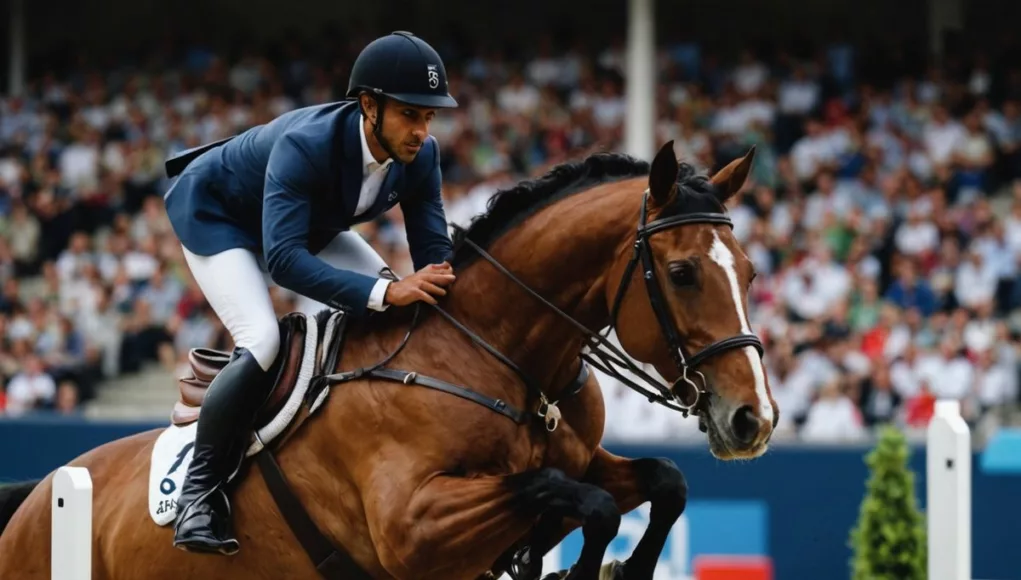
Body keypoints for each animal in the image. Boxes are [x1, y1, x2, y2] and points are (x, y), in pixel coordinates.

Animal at [0, 141, 771, 580]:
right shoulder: (412, 529)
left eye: (752, 272)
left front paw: (610, 568)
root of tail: (36, 498)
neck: (499, 355)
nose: (753, 420)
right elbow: (570, 495)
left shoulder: (586, 459)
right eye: (681, 274)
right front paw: (575, 571)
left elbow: (660, 482)